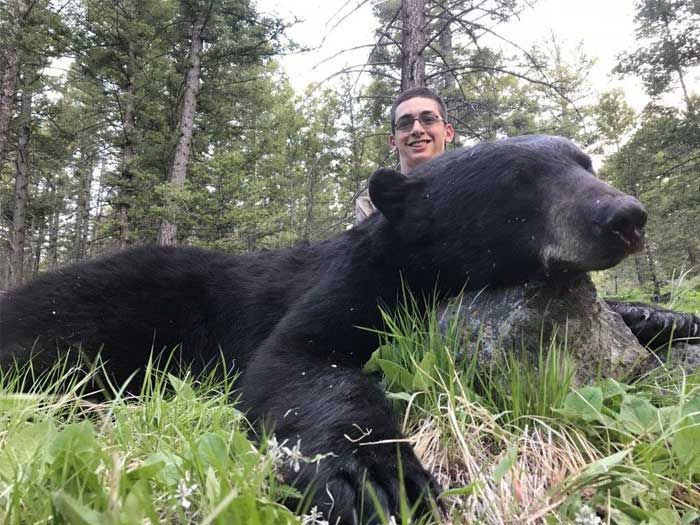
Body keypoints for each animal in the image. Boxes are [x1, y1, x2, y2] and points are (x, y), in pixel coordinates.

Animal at [0, 135, 648, 524]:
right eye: (518, 179)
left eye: (584, 163)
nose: (624, 216)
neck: (419, 267)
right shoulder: (352, 284)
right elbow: (299, 358)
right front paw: (374, 477)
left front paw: (654, 316)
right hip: (95, 311)